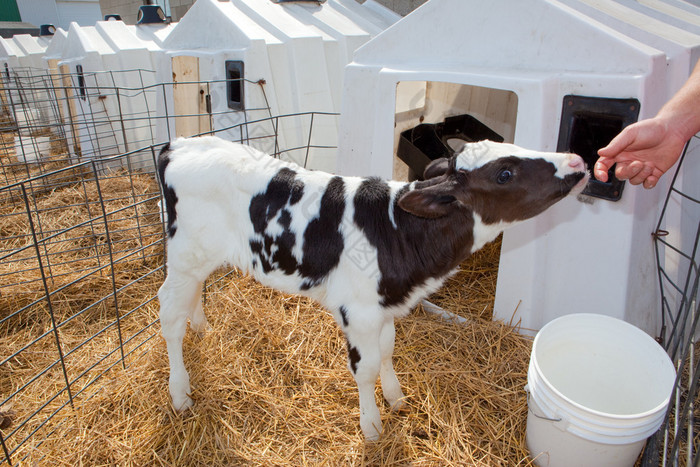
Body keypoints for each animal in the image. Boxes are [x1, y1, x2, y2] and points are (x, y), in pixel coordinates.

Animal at [156, 136, 588, 442]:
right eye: (504, 174)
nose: (578, 161)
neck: (398, 228)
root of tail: (180, 144)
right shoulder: (359, 312)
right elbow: (365, 369)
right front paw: (372, 425)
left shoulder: (386, 306)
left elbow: (387, 351)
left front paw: (396, 397)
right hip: (184, 255)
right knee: (169, 315)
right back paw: (179, 392)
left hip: (200, 258)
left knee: (194, 293)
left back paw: (202, 328)